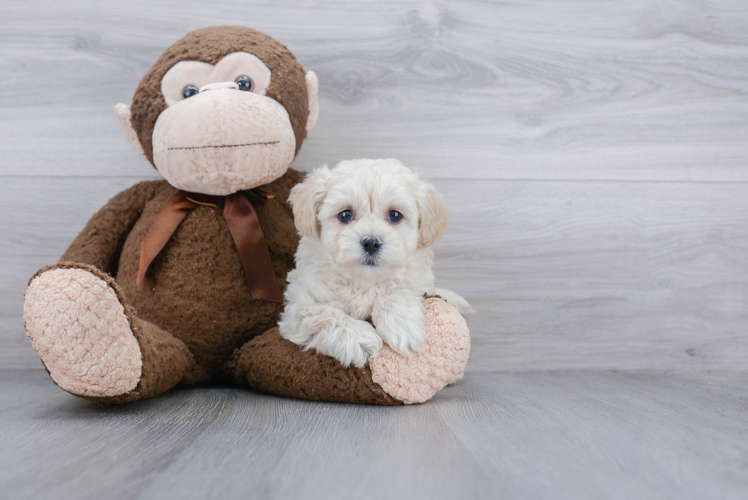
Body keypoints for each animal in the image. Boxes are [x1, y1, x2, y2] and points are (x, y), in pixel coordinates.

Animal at [278, 158, 470, 370]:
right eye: (345, 215)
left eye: (395, 215)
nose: (371, 242)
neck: (364, 281)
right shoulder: (298, 306)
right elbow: (324, 314)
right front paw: (358, 339)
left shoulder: (419, 280)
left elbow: (398, 288)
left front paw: (402, 324)